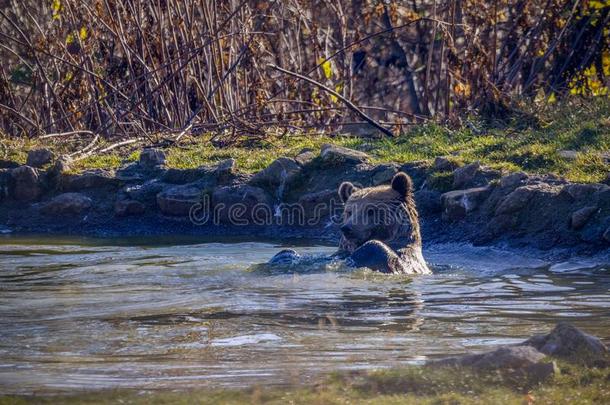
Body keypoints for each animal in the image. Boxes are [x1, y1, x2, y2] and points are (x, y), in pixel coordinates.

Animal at [268, 170, 430, 274]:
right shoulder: (337, 253)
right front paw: (285, 256)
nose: (347, 228)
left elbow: (377, 250)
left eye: (371, 211)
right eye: (349, 211)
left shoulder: (406, 259)